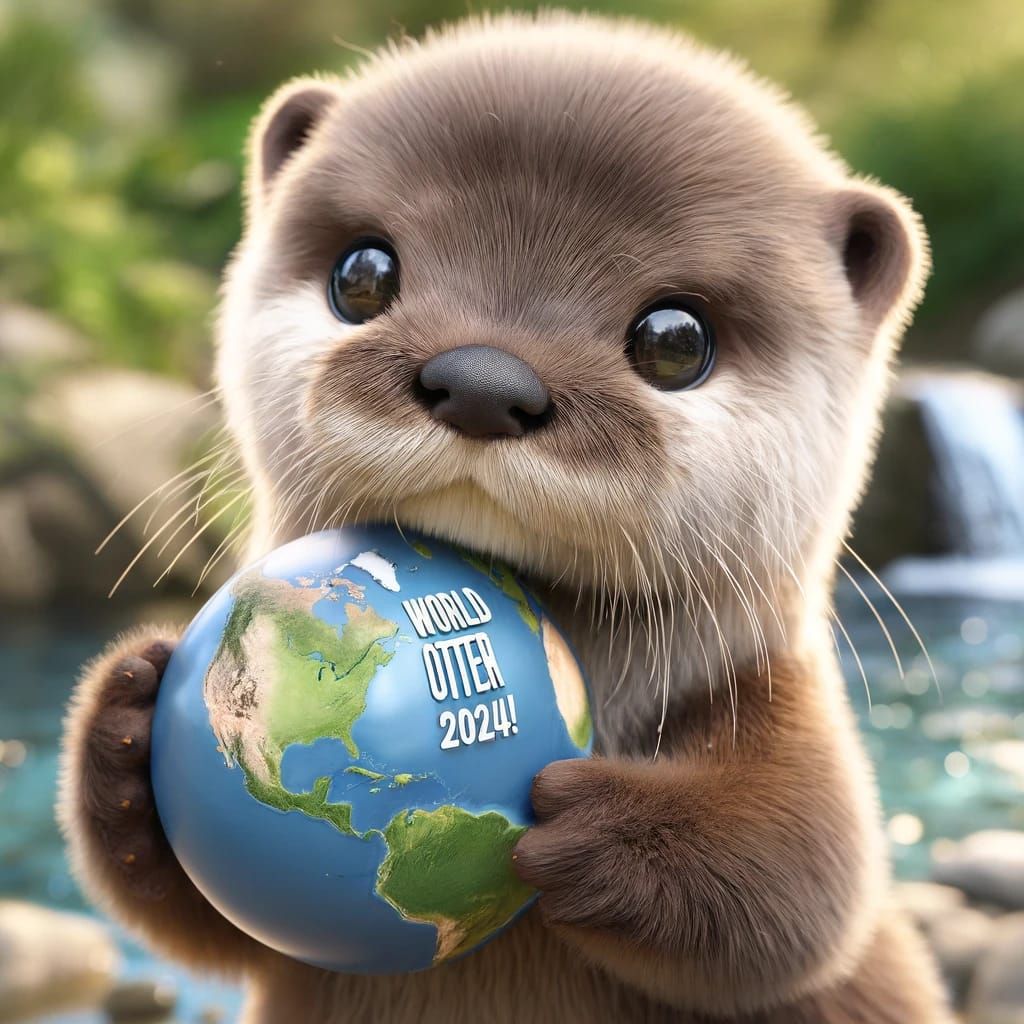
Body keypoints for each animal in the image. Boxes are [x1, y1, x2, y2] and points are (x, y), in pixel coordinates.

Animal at [59, 13, 954, 1023]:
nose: (484, 380)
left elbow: (803, 884)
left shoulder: (785, 708)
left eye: (676, 341)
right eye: (362, 274)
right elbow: (196, 923)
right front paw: (125, 724)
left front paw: (603, 833)